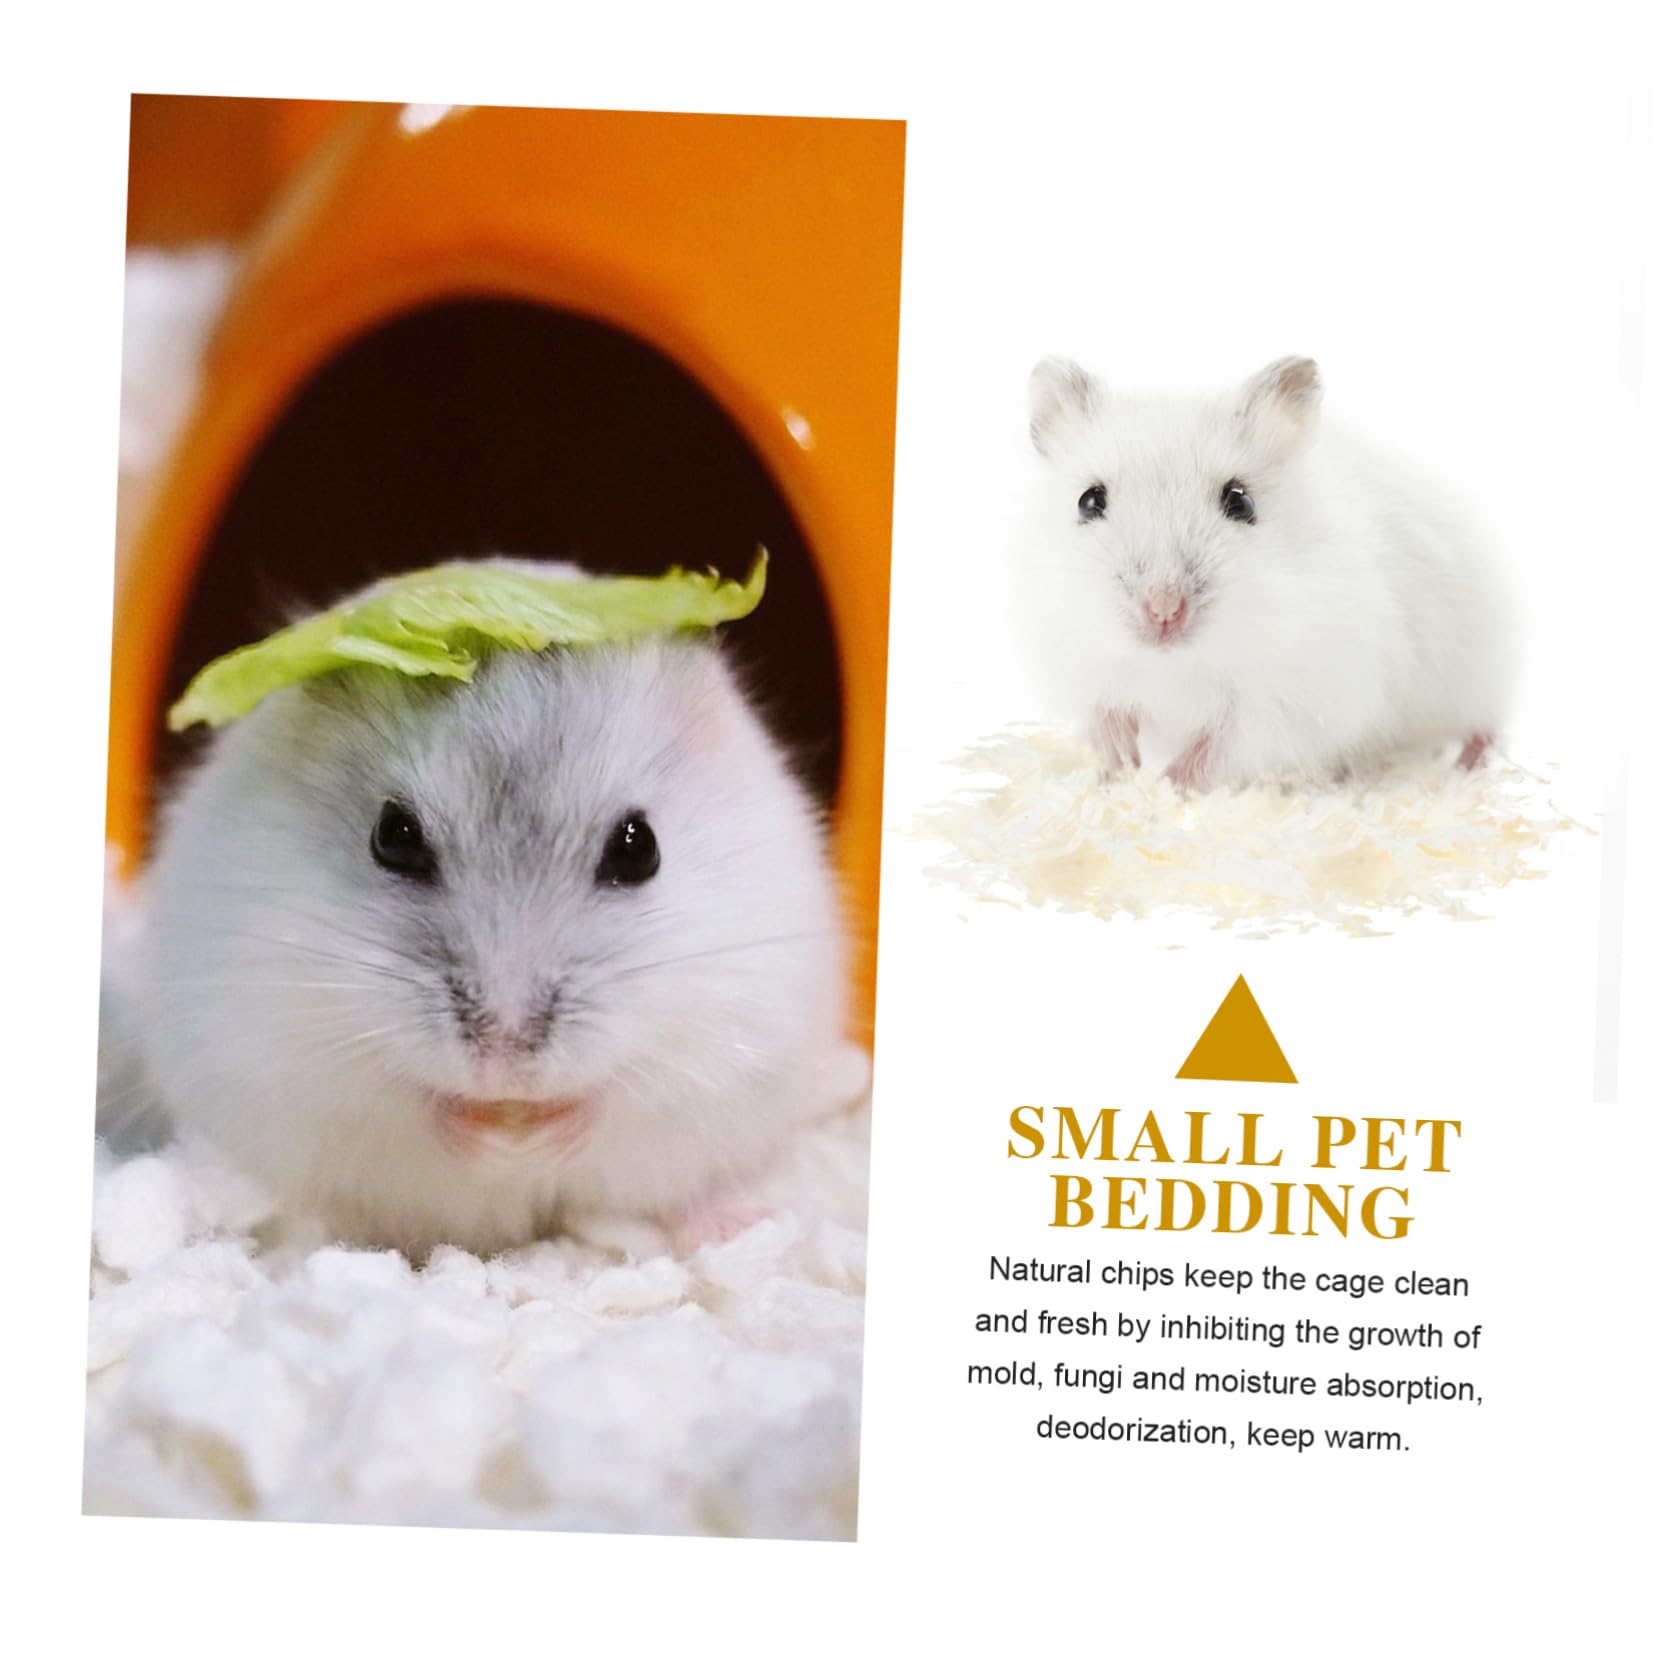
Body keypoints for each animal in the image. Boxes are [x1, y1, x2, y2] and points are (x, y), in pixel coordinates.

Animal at [118, 568, 850, 1256]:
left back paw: (736, 1225)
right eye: (393, 837)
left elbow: (611, 1101)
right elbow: (406, 1103)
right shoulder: (286, 1049)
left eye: (639, 847)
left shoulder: (721, 1038)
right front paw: (494, 1135)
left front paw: (530, 1135)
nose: (503, 1062)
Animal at [1013, 356, 1517, 789]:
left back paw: (1472, 764)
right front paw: (1119, 767)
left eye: (1241, 502)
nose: (1163, 612)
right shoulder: (1078, 664)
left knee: (1488, 723)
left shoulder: (1292, 703)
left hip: (1480, 673)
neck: (1175, 664)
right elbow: (1103, 715)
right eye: (1089, 501)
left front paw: (1166, 785)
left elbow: (1220, 746)